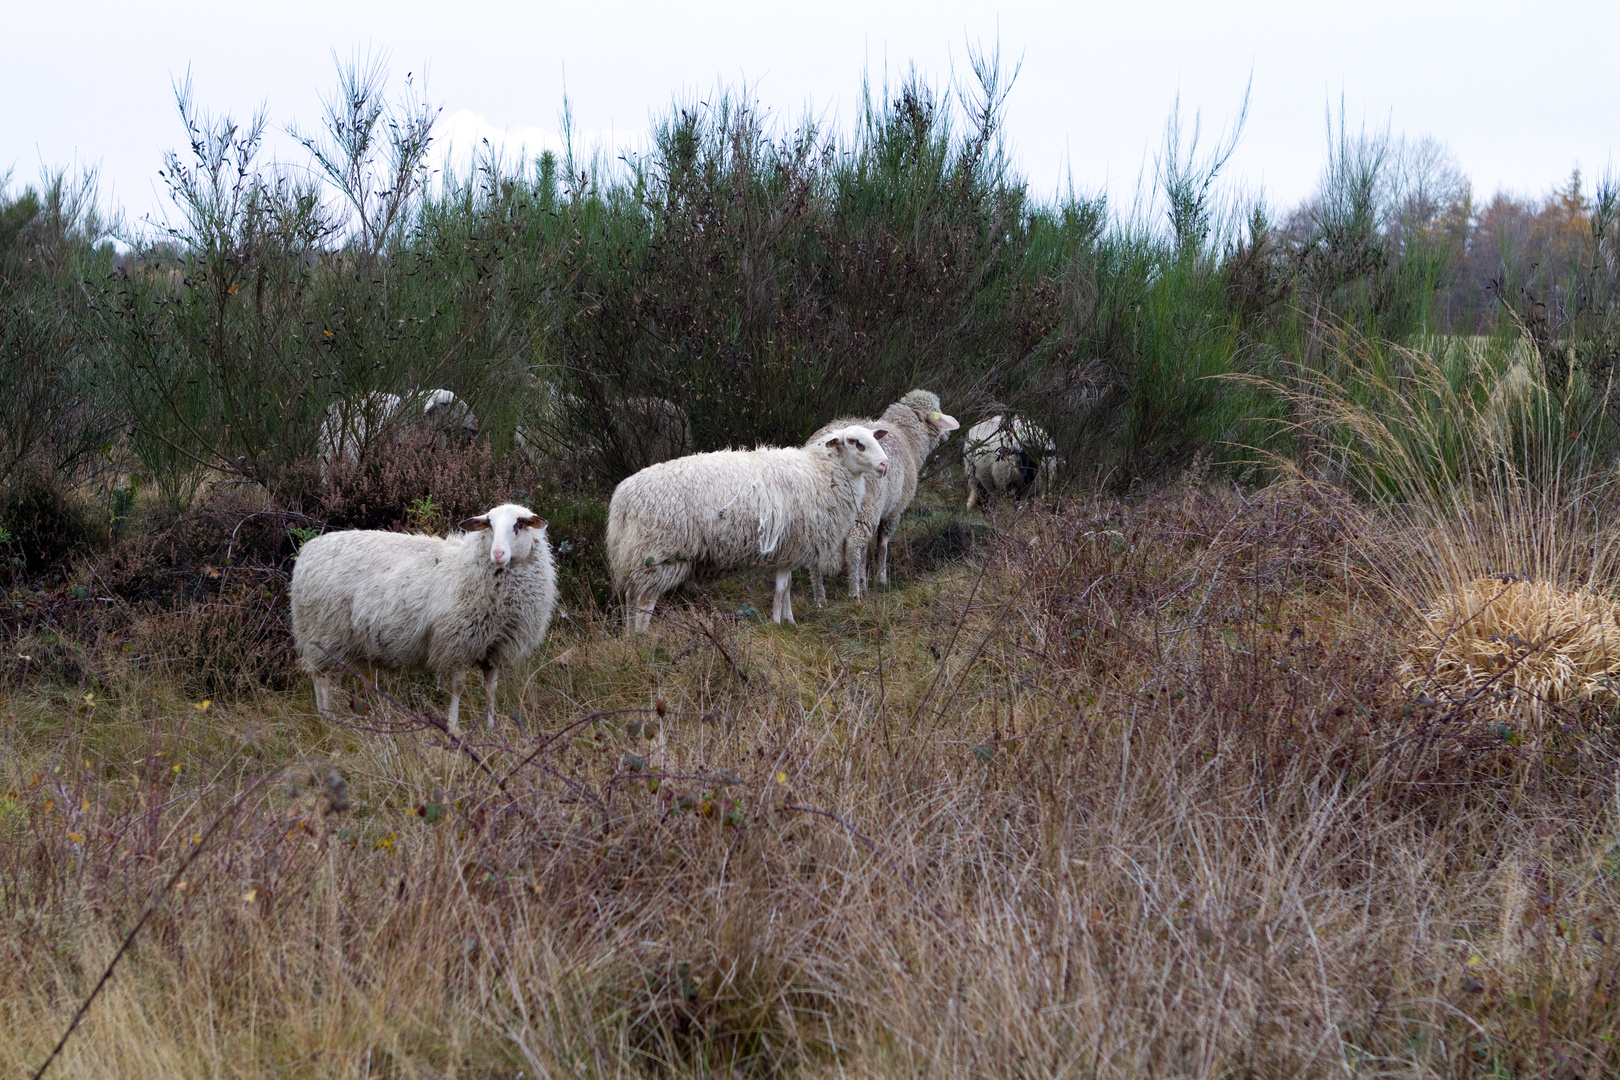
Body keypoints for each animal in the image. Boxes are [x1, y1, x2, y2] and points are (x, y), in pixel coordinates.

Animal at [283, 505, 550, 738]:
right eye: (489, 524)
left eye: (519, 523)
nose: (498, 554)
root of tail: (308, 550)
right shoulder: (457, 641)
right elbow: (458, 686)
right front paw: (453, 728)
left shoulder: (494, 649)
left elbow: (491, 690)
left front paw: (492, 729)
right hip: (320, 631)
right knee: (321, 678)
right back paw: (327, 720)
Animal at [609, 424, 894, 634]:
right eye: (854, 442)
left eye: (873, 438)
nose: (885, 465)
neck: (822, 471)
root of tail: (622, 500)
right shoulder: (791, 544)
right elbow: (781, 589)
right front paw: (776, 623)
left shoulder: (789, 548)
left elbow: (787, 587)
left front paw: (789, 621)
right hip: (656, 556)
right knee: (644, 603)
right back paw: (644, 640)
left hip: (632, 558)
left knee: (630, 600)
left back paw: (631, 637)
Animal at [806, 390, 952, 608]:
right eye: (937, 411)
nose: (948, 433)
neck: (906, 436)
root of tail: (828, 458)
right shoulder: (893, 510)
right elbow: (882, 545)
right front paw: (879, 579)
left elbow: (866, 550)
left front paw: (864, 580)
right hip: (865, 508)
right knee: (853, 548)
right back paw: (854, 594)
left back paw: (820, 599)